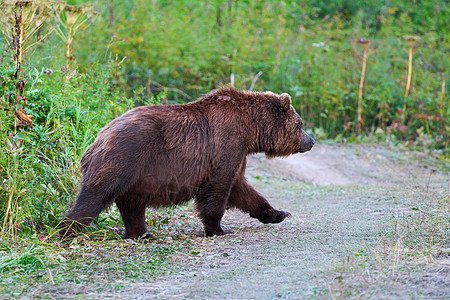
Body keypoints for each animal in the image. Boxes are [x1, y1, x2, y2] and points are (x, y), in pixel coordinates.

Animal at [59, 87, 314, 239]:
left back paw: (141, 233)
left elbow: (242, 189)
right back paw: (67, 229)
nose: (311, 141)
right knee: (96, 195)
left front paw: (278, 213)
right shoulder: (226, 144)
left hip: (135, 174)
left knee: (132, 205)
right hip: (123, 157)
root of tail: (98, 138)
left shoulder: (238, 154)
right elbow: (217, 189)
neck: (251, 130)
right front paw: (218, 228)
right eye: (300, 124)